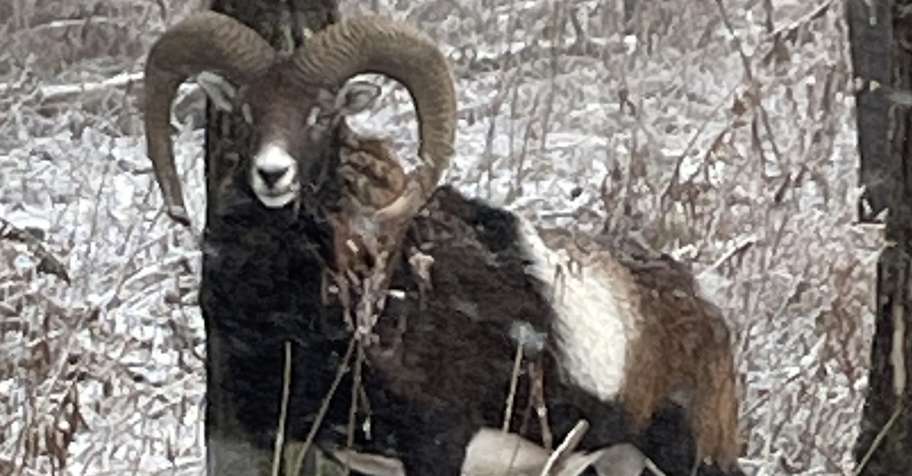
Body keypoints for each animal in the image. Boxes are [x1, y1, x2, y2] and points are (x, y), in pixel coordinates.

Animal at [142, 11, 744, 476]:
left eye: (322, 113)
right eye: (245, 111)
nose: (272, 174)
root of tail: (704, 309)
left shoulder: (437, 446)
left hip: (693, 460)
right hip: (619, 462)